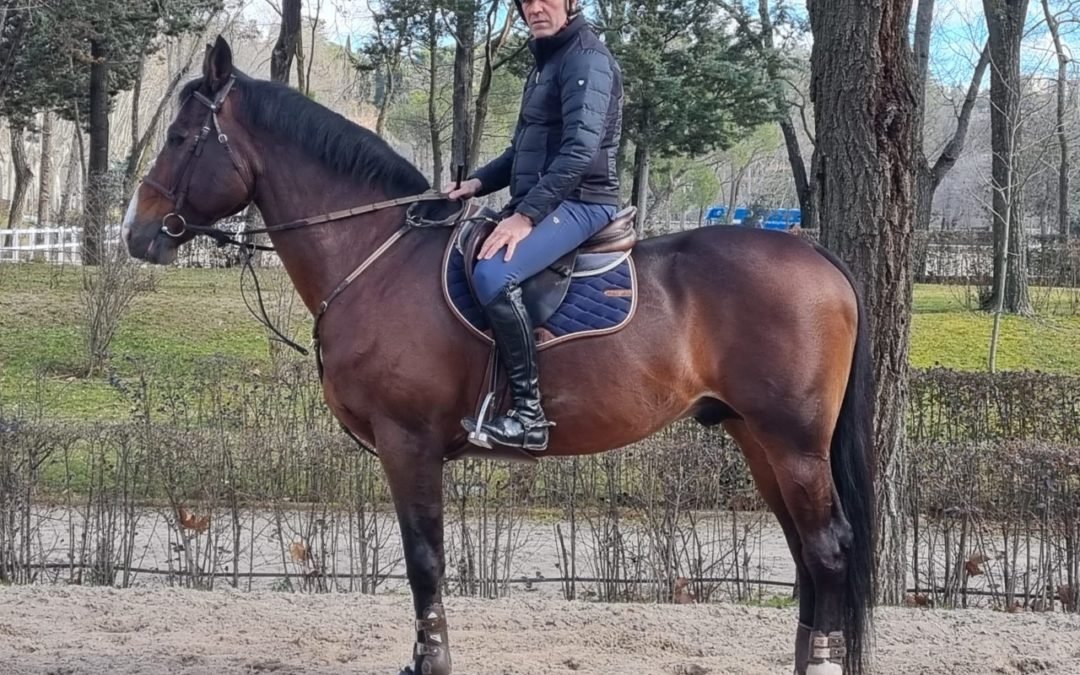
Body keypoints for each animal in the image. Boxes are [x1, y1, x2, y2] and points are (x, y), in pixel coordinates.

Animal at [122, 36, 875, 675]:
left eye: (181, 139)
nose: (136, 233)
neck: (378, 259)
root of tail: (815, 253)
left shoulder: (409, 442)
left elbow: (424, 559)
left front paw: (432, 661)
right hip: (758, 438)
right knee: (805, 551)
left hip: (793, 441)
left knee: (828, 548)